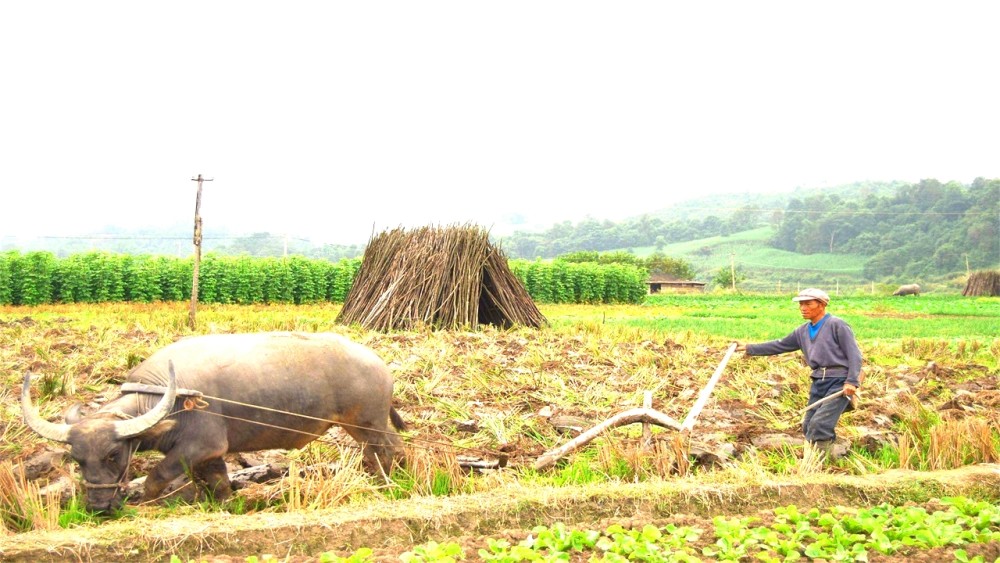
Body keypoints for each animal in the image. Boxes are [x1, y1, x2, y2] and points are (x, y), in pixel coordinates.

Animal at [20, 334, 402, 516]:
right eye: (78, 460)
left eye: (114, 454)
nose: (98, 507)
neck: (169, 399)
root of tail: (378, 363)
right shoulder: (211, 455)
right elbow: (218, 483)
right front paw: (228, 505)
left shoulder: (199, 446)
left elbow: (157, 476)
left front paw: (146, 504)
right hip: (367, 425)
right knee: (384, 449)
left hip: (368, 423)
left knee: (386, 450)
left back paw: (388, 483)